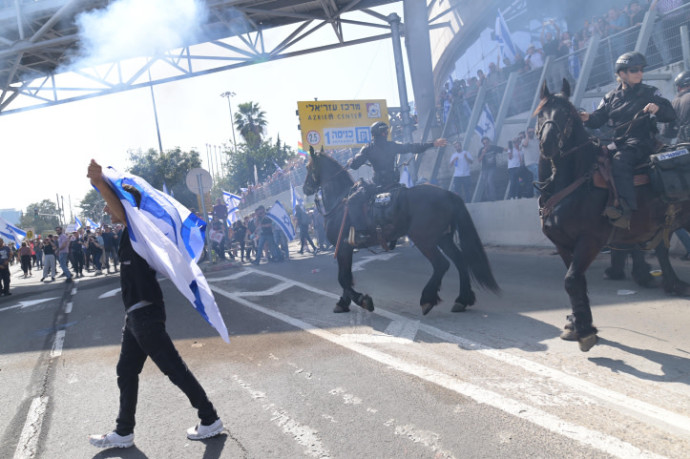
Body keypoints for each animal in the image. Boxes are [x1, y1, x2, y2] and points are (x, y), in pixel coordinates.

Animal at [300, 147, 494, 316]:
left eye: (309, 167)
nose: (305, 188)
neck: (340, 201)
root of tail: (447, 193)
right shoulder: (345, 249)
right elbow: (346, 278)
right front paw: (344, 302)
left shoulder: (343, 247)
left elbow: (343, 279)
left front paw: (362, 300)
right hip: (443, 238)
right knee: (460, 261)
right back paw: (462, 299)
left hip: (424, 239)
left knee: (441, 264)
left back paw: (427, 299)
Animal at [536, 79, 688, 352]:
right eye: (541, 113)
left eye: (566, 114)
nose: (548, 144)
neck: (575, 180)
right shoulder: (563, 244)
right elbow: (577, 283)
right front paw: (578, 324)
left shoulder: (590, 241)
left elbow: (571, 280)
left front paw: (585, 331)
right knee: (661, 249)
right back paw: (672, 283)